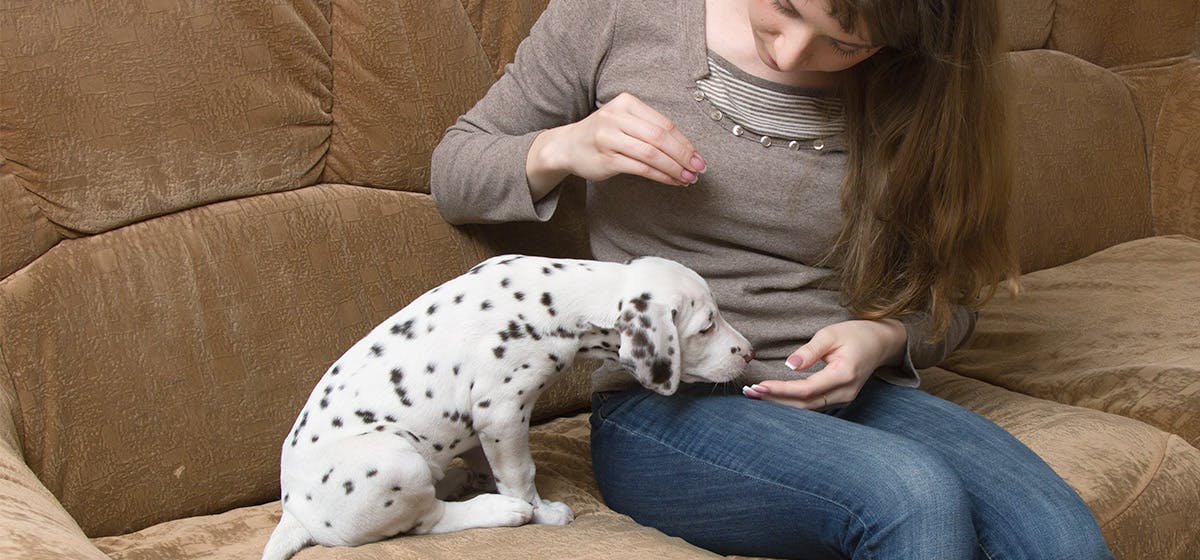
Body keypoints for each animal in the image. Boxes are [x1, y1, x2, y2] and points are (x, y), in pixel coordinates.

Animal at [261, 255, 748, 560]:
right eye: (706, 327)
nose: (746, 351)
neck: (558, 296)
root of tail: (296, 513)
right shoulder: (503, 412)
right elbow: (519, 475)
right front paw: (542, 512)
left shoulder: (481, 424)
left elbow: (485, 459)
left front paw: (481, 474)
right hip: (396, 460)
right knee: (427, 520)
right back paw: (499, 510)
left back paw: (454, 478)